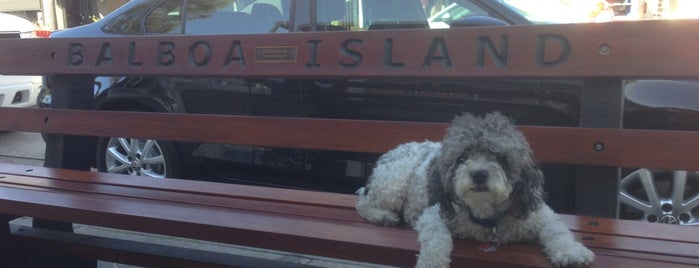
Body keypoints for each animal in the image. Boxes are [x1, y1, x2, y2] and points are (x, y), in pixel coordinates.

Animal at [358, 112, 592, 268]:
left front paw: (572, 253)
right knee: (364, 204)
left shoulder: (543, 217)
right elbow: (436, 240)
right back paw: (383, 216)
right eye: (462, 157)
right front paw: (432, 262)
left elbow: (558, 231)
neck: (486, 216)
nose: (479, 174)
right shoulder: (434, 216)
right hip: (392, 185)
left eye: (499, 157)